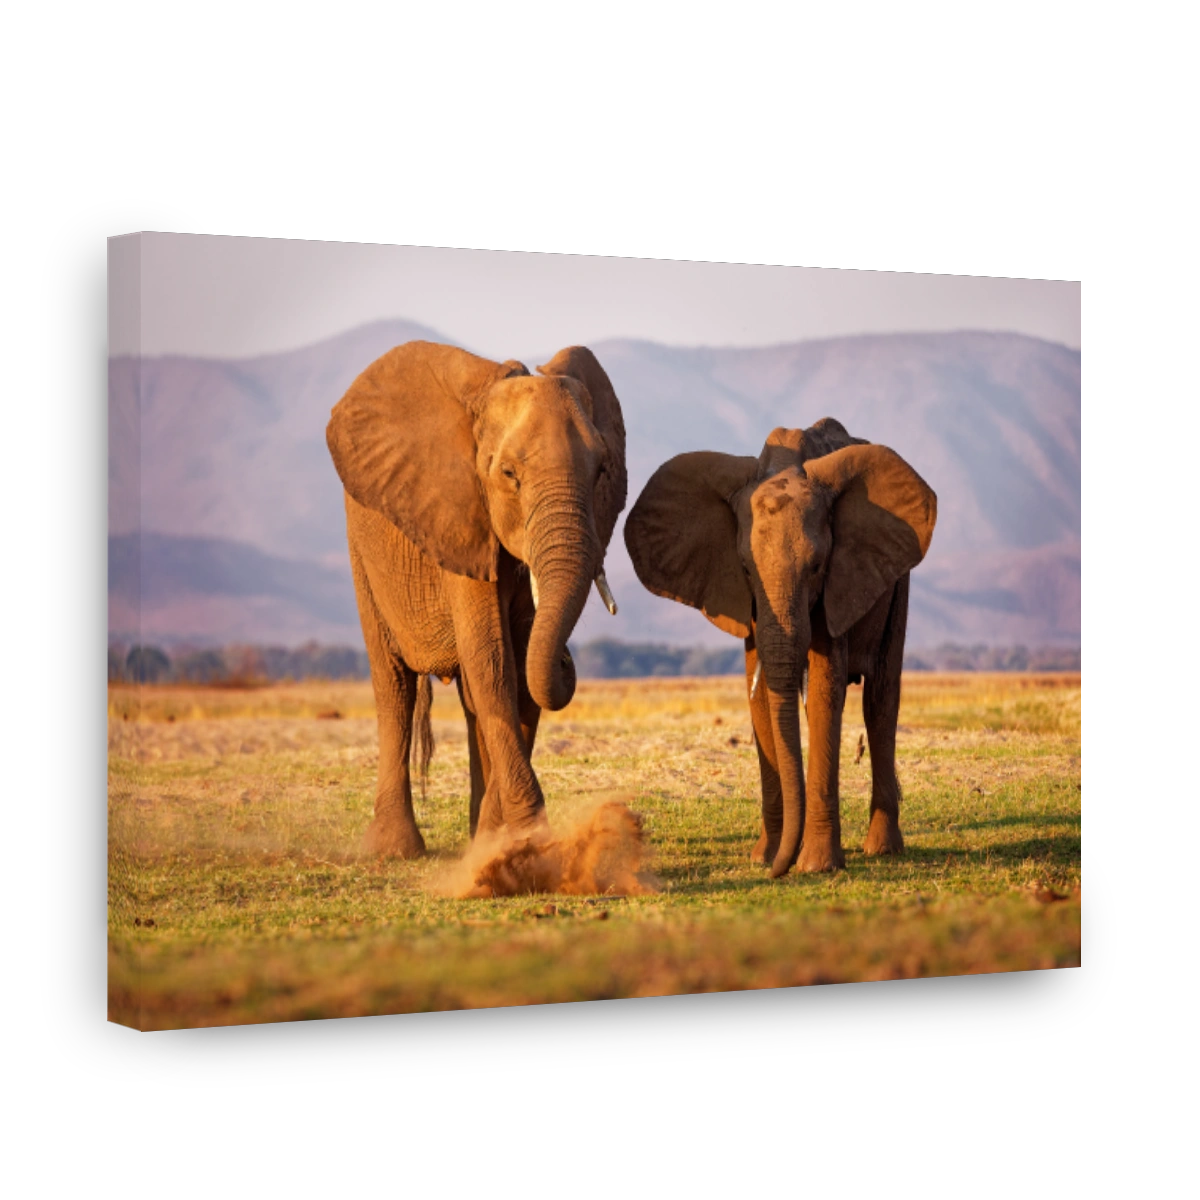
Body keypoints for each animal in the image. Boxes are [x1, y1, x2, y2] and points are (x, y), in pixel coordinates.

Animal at [325, 340, 627, 858]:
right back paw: (394, 850)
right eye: (509, 474)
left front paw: (497, 840)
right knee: (394, 684)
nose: (568, 659)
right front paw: (527, 840)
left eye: (602, 472)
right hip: (362, 546)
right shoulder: (458, 516)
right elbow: (493, 662)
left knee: (467, 699)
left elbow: (517, 672)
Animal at [623, 419, 936, 877]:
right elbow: (760, 699)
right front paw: (765, 857)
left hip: (897, 584)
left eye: (817, 567)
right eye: (745, 569)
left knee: (880, 701)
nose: (776, 874)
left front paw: (816, 866)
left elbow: (825, 692)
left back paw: (882, 849)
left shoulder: (840, 580)